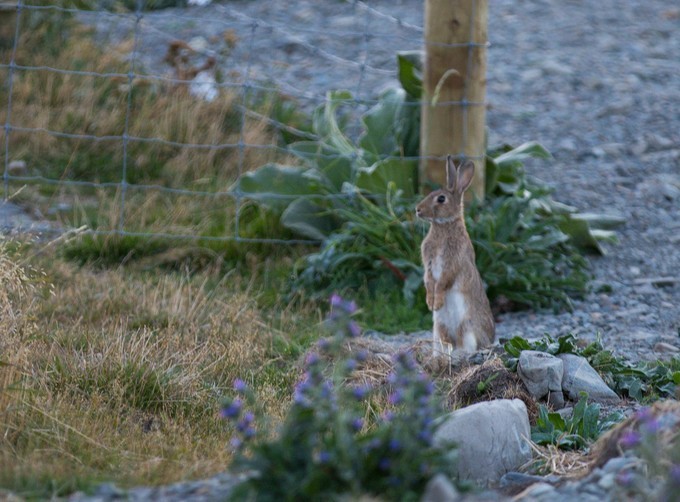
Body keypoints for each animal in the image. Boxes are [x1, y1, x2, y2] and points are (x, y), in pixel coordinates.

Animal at [414, 155, 494, 354]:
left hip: (466, 327)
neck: (444, 225)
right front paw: (430, 302)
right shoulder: (428, 263)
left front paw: (436, 303)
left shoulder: (453, 261)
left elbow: (443, 281)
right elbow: (429, 280)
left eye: (441, 198)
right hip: (438, 327)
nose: (417, 210)